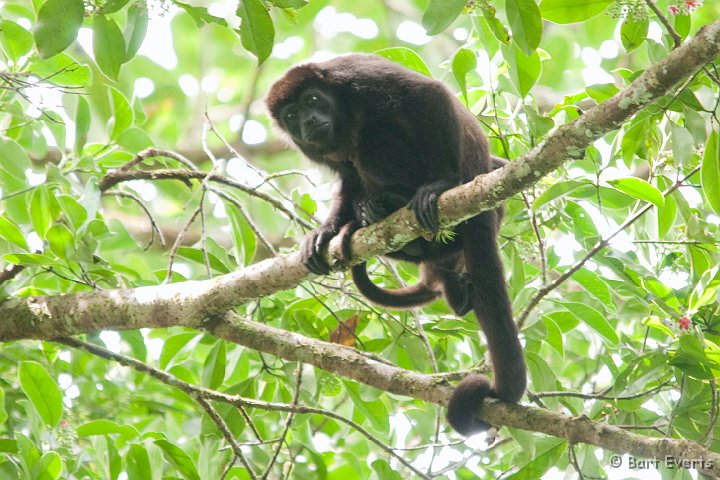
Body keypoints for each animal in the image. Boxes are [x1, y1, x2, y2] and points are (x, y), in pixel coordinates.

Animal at [268, 53, 524, 436]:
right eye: (291, 116)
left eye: (312, 100)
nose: (308, 121)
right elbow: (346, 175)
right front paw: (326, 231)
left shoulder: (357, 76)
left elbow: (427, 95)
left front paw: (442, 182)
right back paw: (373, 214)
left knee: (374, 137)